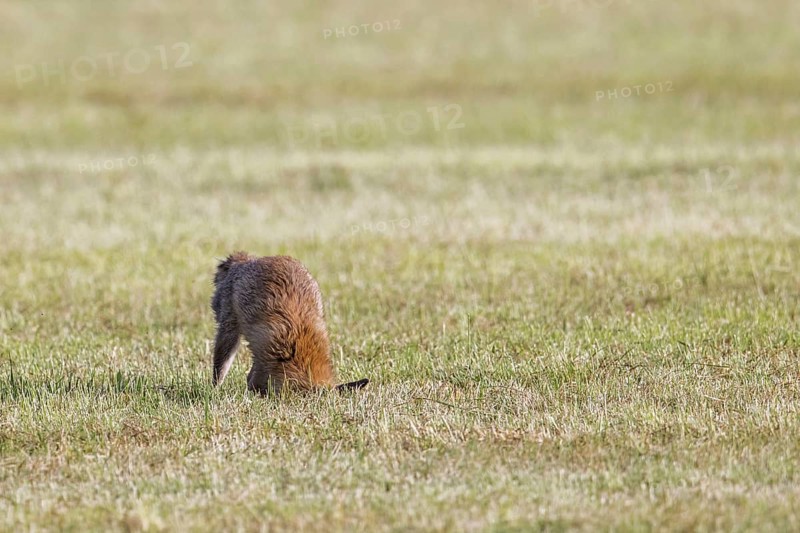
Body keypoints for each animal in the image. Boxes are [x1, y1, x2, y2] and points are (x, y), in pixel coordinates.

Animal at [210, 251, 368, 395]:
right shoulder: (264, 357)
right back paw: (215, 389)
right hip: (229, 332)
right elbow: (254, 381)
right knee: (220, 367)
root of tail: (248, 260)